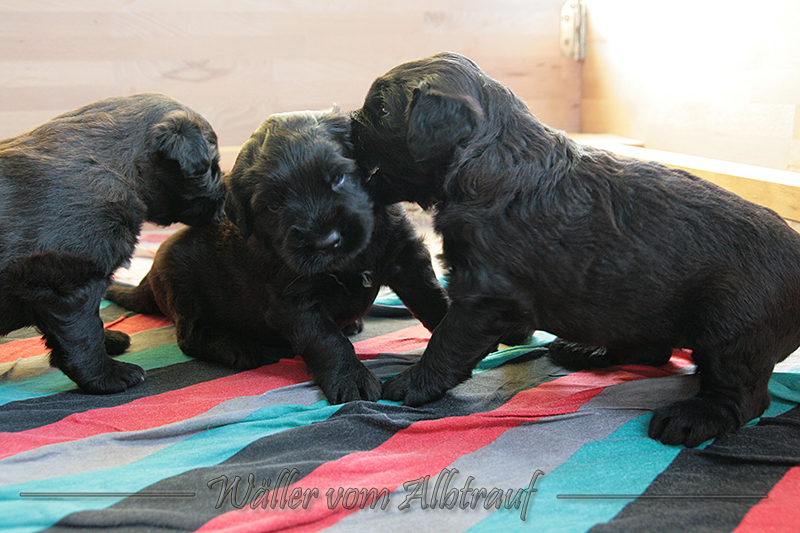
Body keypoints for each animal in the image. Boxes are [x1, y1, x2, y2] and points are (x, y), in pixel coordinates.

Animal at [0, 93, 224, 394]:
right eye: (211, 166)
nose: (225, 198)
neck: (119, 167)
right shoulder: (69, 283)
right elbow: (84, 333)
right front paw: (108, 376)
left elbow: (92, 321)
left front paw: (110, 342)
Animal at [105, 108, 448, 404]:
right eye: (273, 206)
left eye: (339, 177)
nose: (327, 241)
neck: (350, 261)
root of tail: (147, 281)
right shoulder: (292, 299)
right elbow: (325, 339)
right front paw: (351, 378)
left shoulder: (405, 257)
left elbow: (431, 299)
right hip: (182, 284)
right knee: (190, 335)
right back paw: (239, 348)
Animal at [350, 52, 800, 447]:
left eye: (381, 109)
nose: (350, 124)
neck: (492, 158)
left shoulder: (485, 296)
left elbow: (447, 339)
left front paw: (414, 382)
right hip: (641, 309)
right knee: (654, 351)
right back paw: (587, 350)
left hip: (731, 327)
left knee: (742, 394)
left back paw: (691, 417)